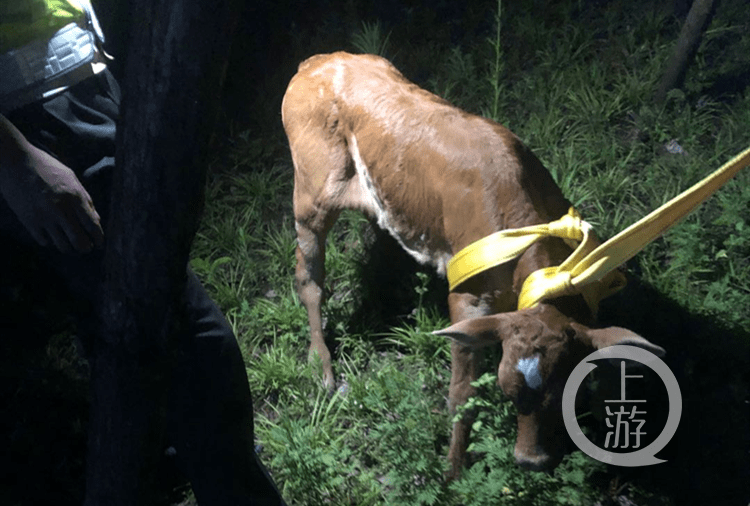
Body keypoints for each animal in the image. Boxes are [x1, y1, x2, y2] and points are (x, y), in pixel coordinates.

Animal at [282, 52, 664, 478]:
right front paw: (453, 472)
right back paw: (321, 364)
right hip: (312, 195)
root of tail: (320, 61)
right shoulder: (467, 297)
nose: (530, 461)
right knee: (309, 279)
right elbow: (462, 394)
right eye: (508, 392)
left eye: (568, 392)